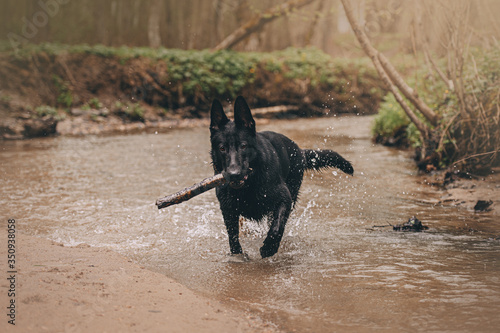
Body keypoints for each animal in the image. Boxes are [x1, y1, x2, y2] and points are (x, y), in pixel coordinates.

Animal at [209, 96, 354, 256]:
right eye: (222, 148)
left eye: (243, 146)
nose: (234, 174)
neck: (249, 184)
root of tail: (300, 151)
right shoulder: (228, 209)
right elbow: (233, 237)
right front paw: (238, 254)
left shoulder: (284, 199)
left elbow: (277, 226)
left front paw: (269, 247)